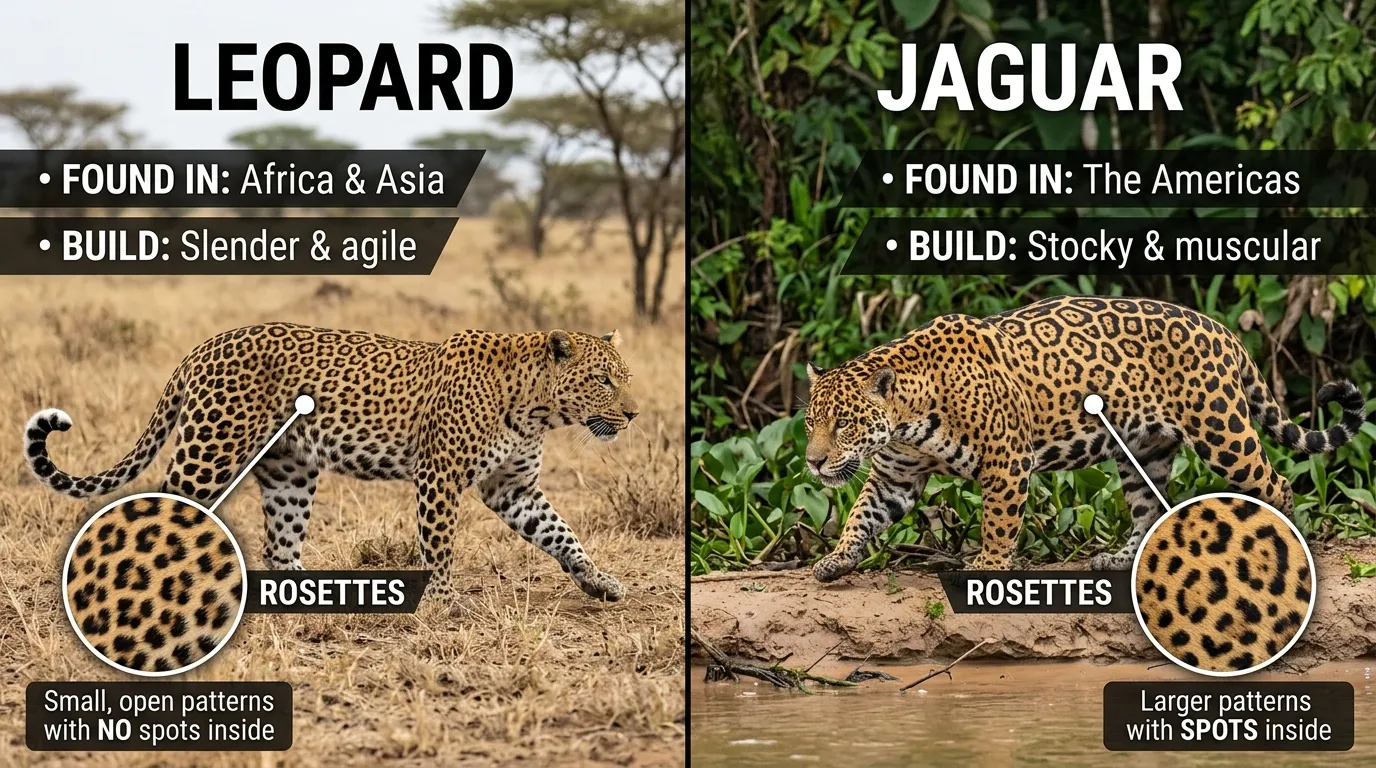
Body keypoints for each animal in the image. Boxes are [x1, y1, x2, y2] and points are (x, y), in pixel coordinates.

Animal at [27, 323, 639, 605]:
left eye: (625, 377)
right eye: (603, 380)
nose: (633, 414)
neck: (536, 407)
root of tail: (202, 347)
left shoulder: (513, 487)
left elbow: (561, 534)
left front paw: (599, 580)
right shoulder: (439, 476)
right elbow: (440, 544)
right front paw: (443, 602)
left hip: (289, 471)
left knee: (279, 547)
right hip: (210, 451)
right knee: (164, 512)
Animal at [802, 295, 1366, 580]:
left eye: (844, 423)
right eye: (810, 424)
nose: (812, 463)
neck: (909, 416)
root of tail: (1222, 329)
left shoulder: (1006, 463)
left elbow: (998, 524)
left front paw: (987, 565)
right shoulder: (895, 474)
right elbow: (861, 515)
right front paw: (835, 559)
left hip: (1221, 431)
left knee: (1277, 484)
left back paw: (1288, 542)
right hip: (1144, 450)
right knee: (1148, 506)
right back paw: (1123, 558)